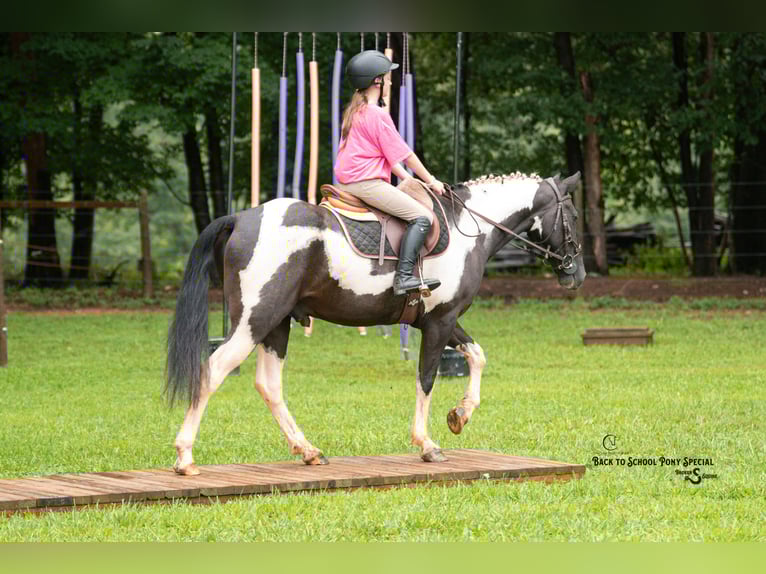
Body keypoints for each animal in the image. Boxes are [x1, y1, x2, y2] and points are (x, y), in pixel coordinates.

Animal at [165, 171, 586, 475]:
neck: (468, 230)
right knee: (214, 369)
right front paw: (427, 444)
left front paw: (460, 415)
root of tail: (240, 218)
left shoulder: (439, 319)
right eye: (575, 216)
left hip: (277, 324)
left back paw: (308, 450)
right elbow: (426, 378)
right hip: (255, 319)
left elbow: (477, 356)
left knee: (268, 384)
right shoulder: (440, 322)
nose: (577, 274)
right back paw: (185, 457)